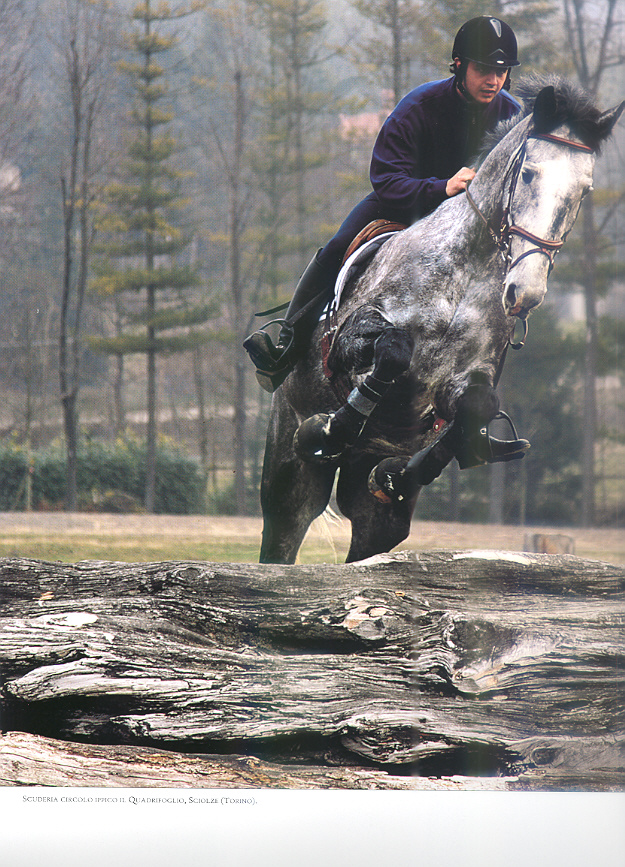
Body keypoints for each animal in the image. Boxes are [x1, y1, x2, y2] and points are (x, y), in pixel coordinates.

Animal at [254, 74, 620, 568]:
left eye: (584, 190)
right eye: (528, 174)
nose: (525, 293)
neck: (467, 270)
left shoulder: (466, 380)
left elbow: (476, 407)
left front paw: (403, 474)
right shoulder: (352, 338)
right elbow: (391, 352)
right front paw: (332, 428)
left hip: (375, 512)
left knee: (369, 546)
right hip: (290, 475)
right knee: (281, 537)